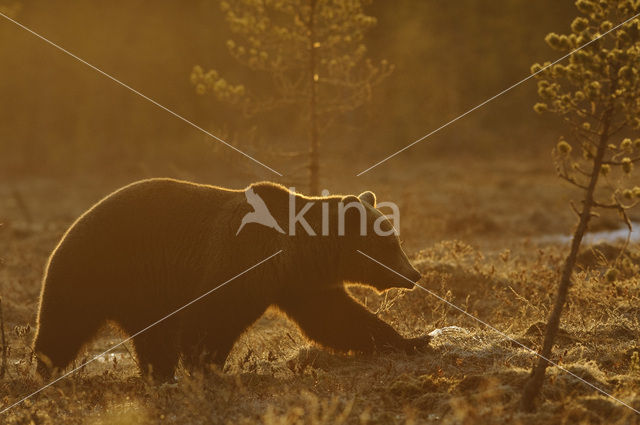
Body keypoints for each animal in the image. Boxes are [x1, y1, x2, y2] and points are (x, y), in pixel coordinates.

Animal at [32, 177, 428, 380]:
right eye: (391, 243)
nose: (413, 274)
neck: (298, 250)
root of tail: (72, 225)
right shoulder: (242, 262)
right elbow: (212, 319)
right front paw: (206, 366)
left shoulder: (301, 283)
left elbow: (338, 320)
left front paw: (414, 340)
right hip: (96, 269)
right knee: (63, 325)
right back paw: (44, 370)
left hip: (144, 293)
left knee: (152, 336)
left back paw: (159, 373)